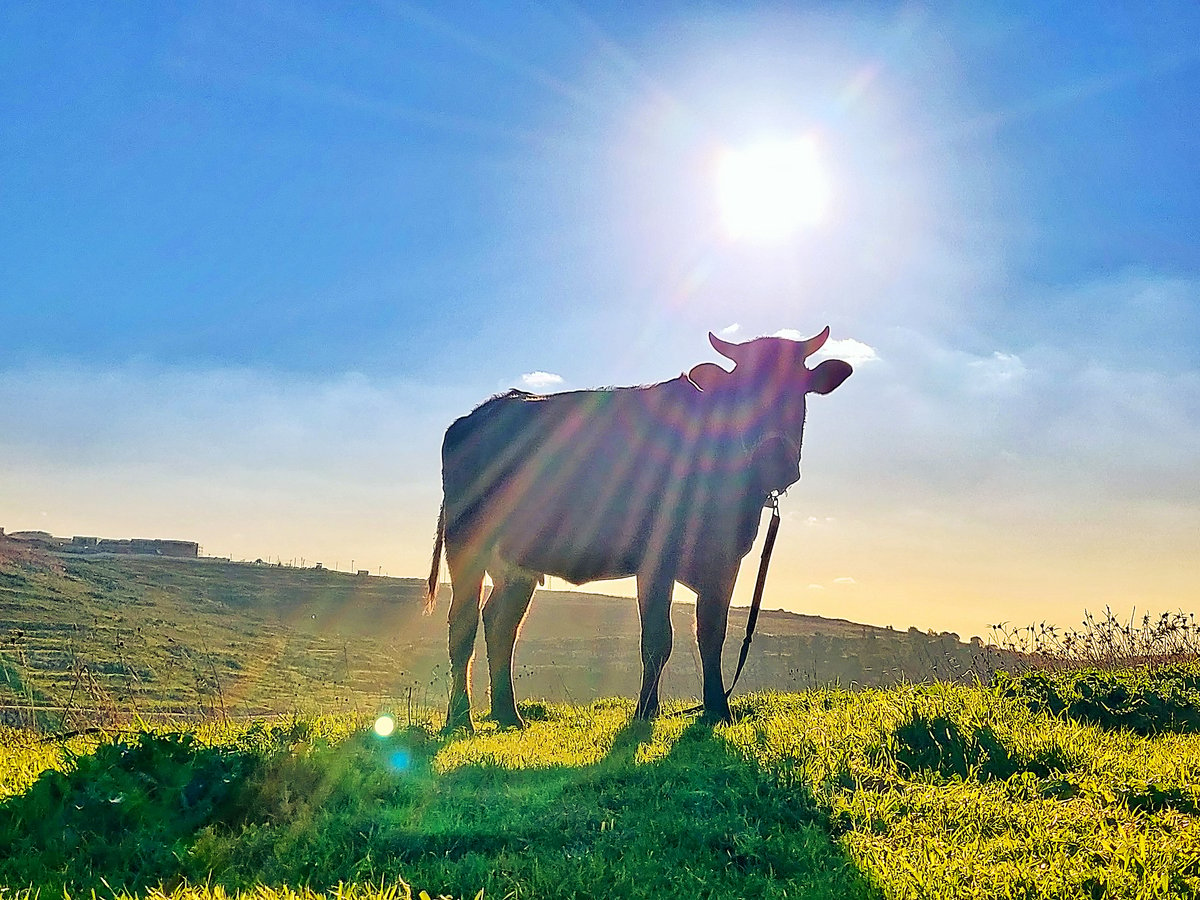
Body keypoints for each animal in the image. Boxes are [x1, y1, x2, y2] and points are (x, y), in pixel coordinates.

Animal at [427, 328, 849, 734]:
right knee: (462, 624)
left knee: (501, 626)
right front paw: (646, 710)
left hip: (518, 565)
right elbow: (658, 639)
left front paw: (717, 709)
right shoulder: (656, 561)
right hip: (466, 544)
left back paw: (507, 714)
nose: (773, 460)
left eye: (799, 389)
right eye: (741, 392)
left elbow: (711, 634)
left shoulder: (726, 562)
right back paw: (460, 718)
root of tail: (475, 417)